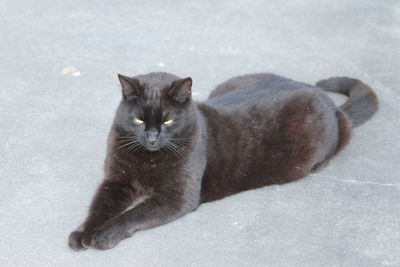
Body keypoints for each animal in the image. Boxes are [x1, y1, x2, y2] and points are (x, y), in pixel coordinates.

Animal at [67, 71, 376, 251]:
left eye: (167, 121)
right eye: (139, 120)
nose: (152, 137)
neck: (148, 160)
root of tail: (325, 97)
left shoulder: (177, 197)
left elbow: (133, 214)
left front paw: (106, 235)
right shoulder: (116, 181)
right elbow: (99, 208)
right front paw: (83, 233)